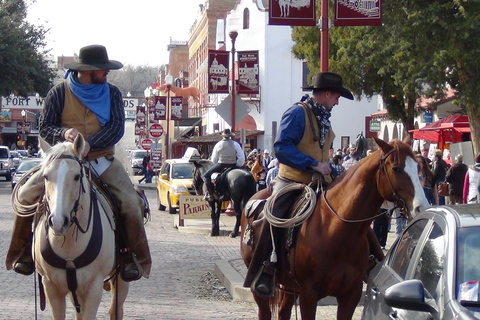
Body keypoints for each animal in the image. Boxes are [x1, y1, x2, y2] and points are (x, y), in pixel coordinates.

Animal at [33, 134, 129, 318]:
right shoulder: (51, 287)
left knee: (116, 309)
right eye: (46, 176)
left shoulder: (93, 289)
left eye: (77, 176)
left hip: (120, 278)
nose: (58, 222)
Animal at [240, 138, 432, 320]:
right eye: (396, 169)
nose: (421, 207)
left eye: (418, 168)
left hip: (289, 285)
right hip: (262, 290)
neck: (335, 232)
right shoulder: (308, 294)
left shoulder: (351, 295)